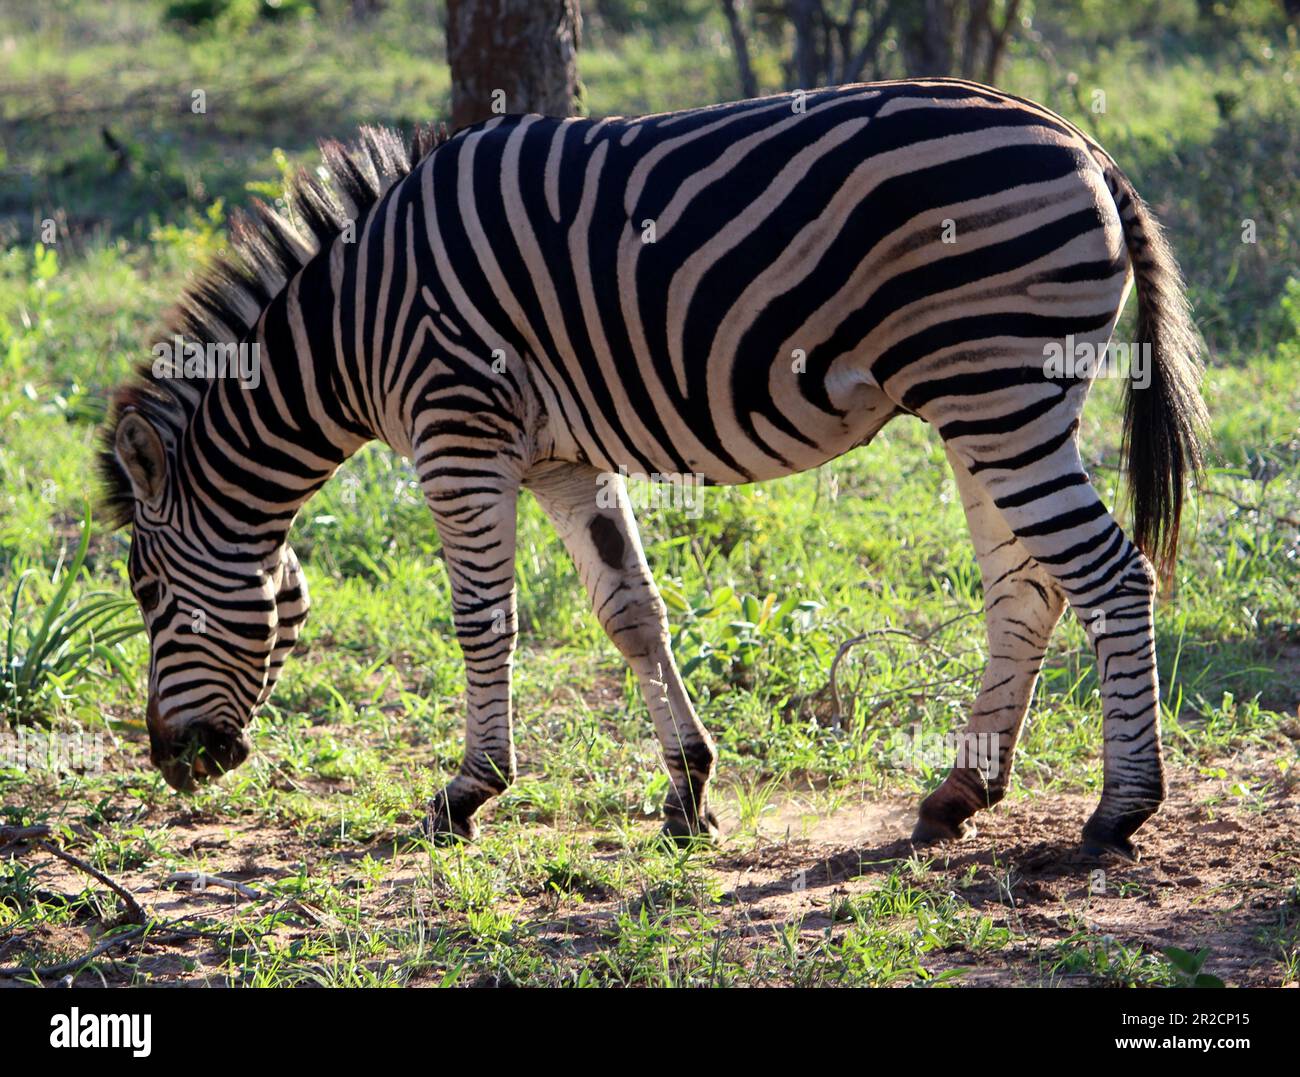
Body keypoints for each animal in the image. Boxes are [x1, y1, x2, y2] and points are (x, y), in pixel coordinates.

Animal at [101, 79, 1206, 858]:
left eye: (148, 594)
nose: (168, 764)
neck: (349, 330)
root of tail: (1086, 145)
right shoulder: (560, 456)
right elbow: (629, 609)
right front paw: (686, 793)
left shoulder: (459, 431)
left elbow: (481, 619)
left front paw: (468, 792)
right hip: (990, 403)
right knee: (1027, 588)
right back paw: (957, 794)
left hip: (996, 389)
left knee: (1111, 576)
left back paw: (1118, 813)